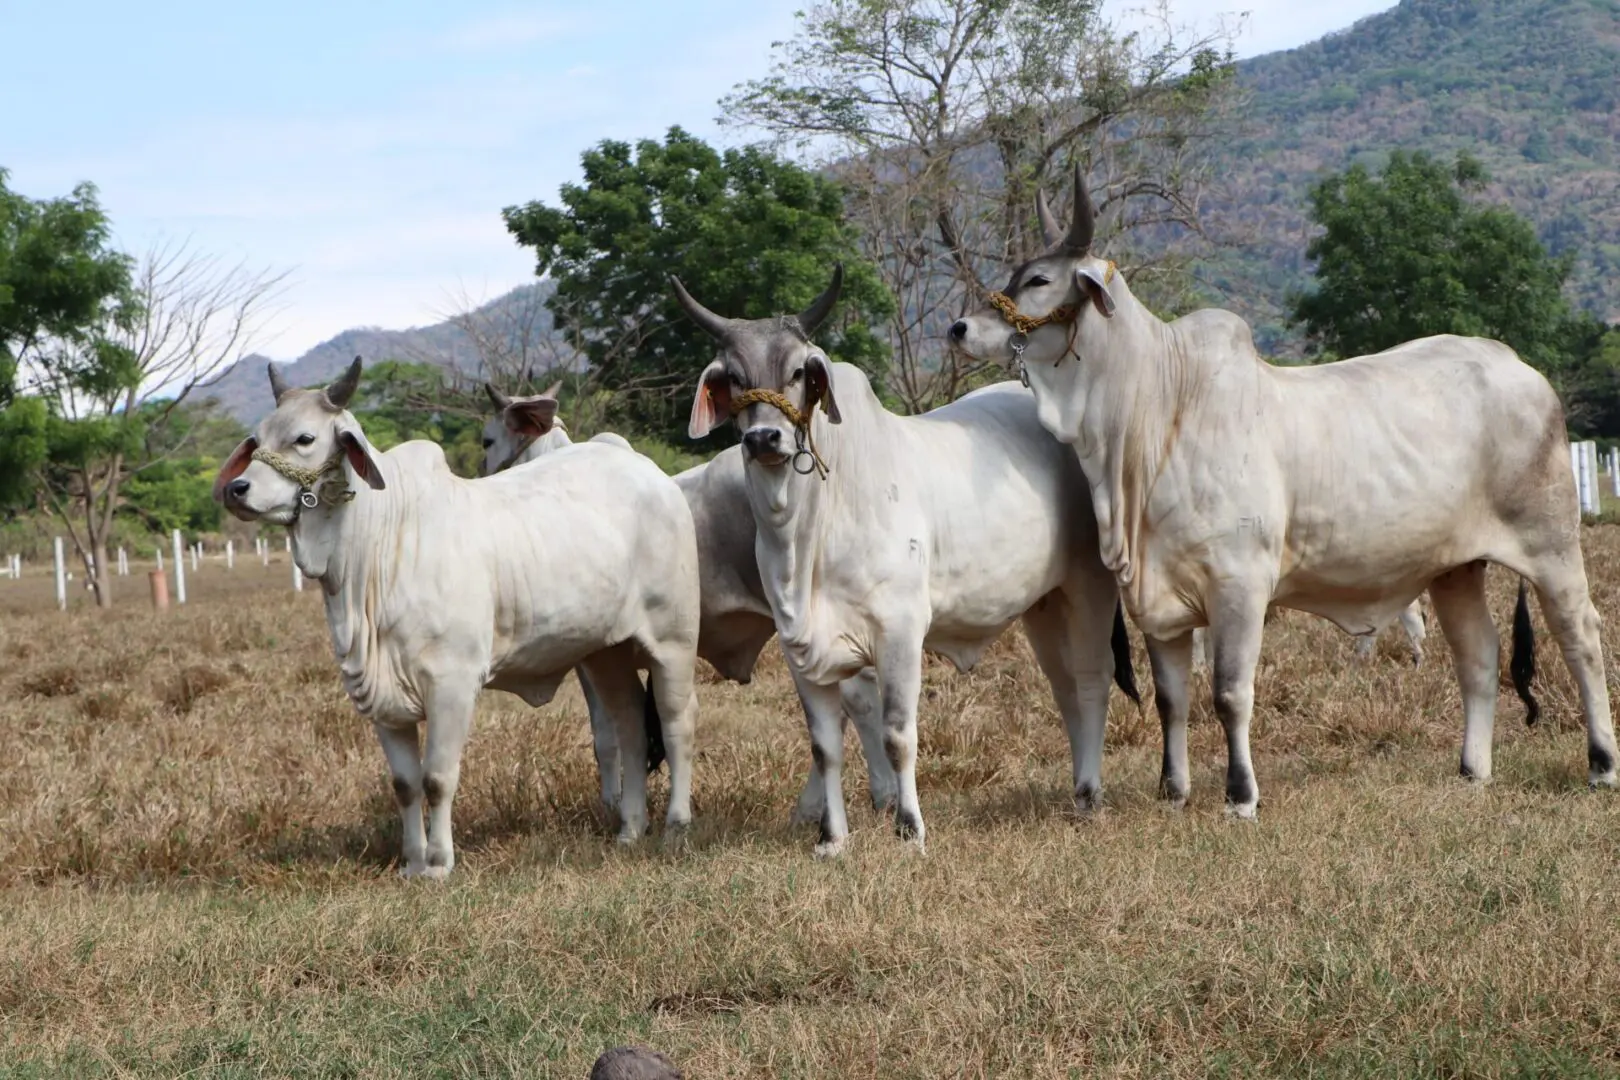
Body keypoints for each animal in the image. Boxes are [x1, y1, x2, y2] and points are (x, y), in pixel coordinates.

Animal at [213, 358, 702, 877]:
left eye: (304, 438)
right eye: (257, 439)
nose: (237, 489)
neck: (377, 544)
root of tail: (652, 474)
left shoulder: (453, 684)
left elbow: (437, 778)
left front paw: (439, 861)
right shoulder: (379, 695)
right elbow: (405, 784)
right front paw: (411, 861)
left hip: (673, 640)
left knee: (676, 720)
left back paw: (676, 824)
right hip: (605, 651)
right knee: (630, 724)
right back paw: (630, 828)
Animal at [482, 385, 903, 820]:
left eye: (487, 439)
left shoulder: (590, 654)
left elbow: (606, 734)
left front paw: (612, 803)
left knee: (855, 703)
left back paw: (860, 798)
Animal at [673, 268, 1146, 856]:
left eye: (799, 371)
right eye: (735, 377)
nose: (764, 438)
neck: (808, 531)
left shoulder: (898, 633)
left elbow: (897, 734)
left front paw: (909, 829)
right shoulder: (799, 647)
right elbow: (824, 746)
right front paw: (832, 838)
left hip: (1089, 587)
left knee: (1091, 679)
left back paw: (1090, 796)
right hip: (1043, 602)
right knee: (1065, 687)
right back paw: (1078, 788)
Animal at [948, 165, 1617, 818]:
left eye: (1039, 279)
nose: (959, 327)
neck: (1156, 412)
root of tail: (1522, 369)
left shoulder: (1239, 586)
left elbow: (1228, 694)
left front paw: (1240, 795)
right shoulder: (1157, 600)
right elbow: (1171, 699)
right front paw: (1174, 791)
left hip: (1552, 545)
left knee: (1580, 637)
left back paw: (1601, 764)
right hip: (1455, 568)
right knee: (1478, 656)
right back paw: (1473, 771)